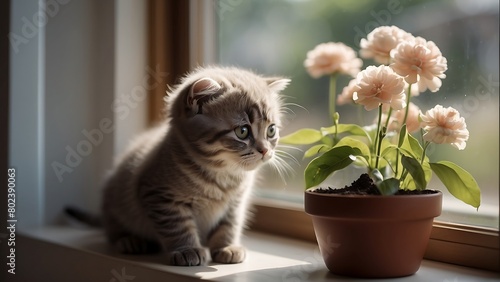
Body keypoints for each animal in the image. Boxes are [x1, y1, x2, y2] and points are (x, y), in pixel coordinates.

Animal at [101, 66, 290, 266]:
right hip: (116, 201)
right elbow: (178, 227)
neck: (223, 174)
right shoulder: (159, 196)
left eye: (271, 130)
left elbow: (229, 225)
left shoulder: (235, 204)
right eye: (242, 131)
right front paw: (187, 250)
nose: (265, 150)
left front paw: (226, 247)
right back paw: (131, 240)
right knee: (114, 230)